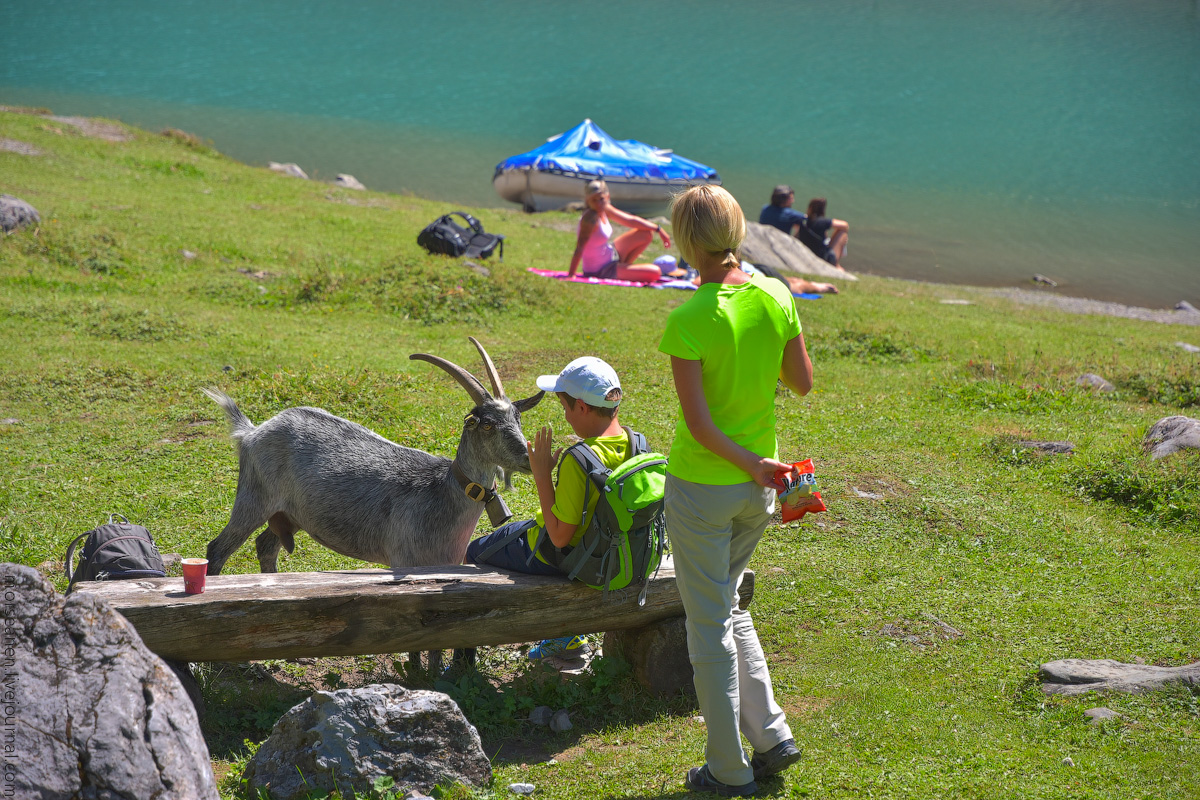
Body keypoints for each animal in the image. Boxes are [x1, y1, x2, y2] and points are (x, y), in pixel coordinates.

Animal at [202, 338, 544, 575]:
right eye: (486, 424)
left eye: (517, 418)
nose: (529, 458)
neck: (443, 490)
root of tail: (252, 431)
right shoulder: (405, 560)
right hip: (254, 497)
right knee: (218, 549)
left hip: (290, 512)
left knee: (265, 546)